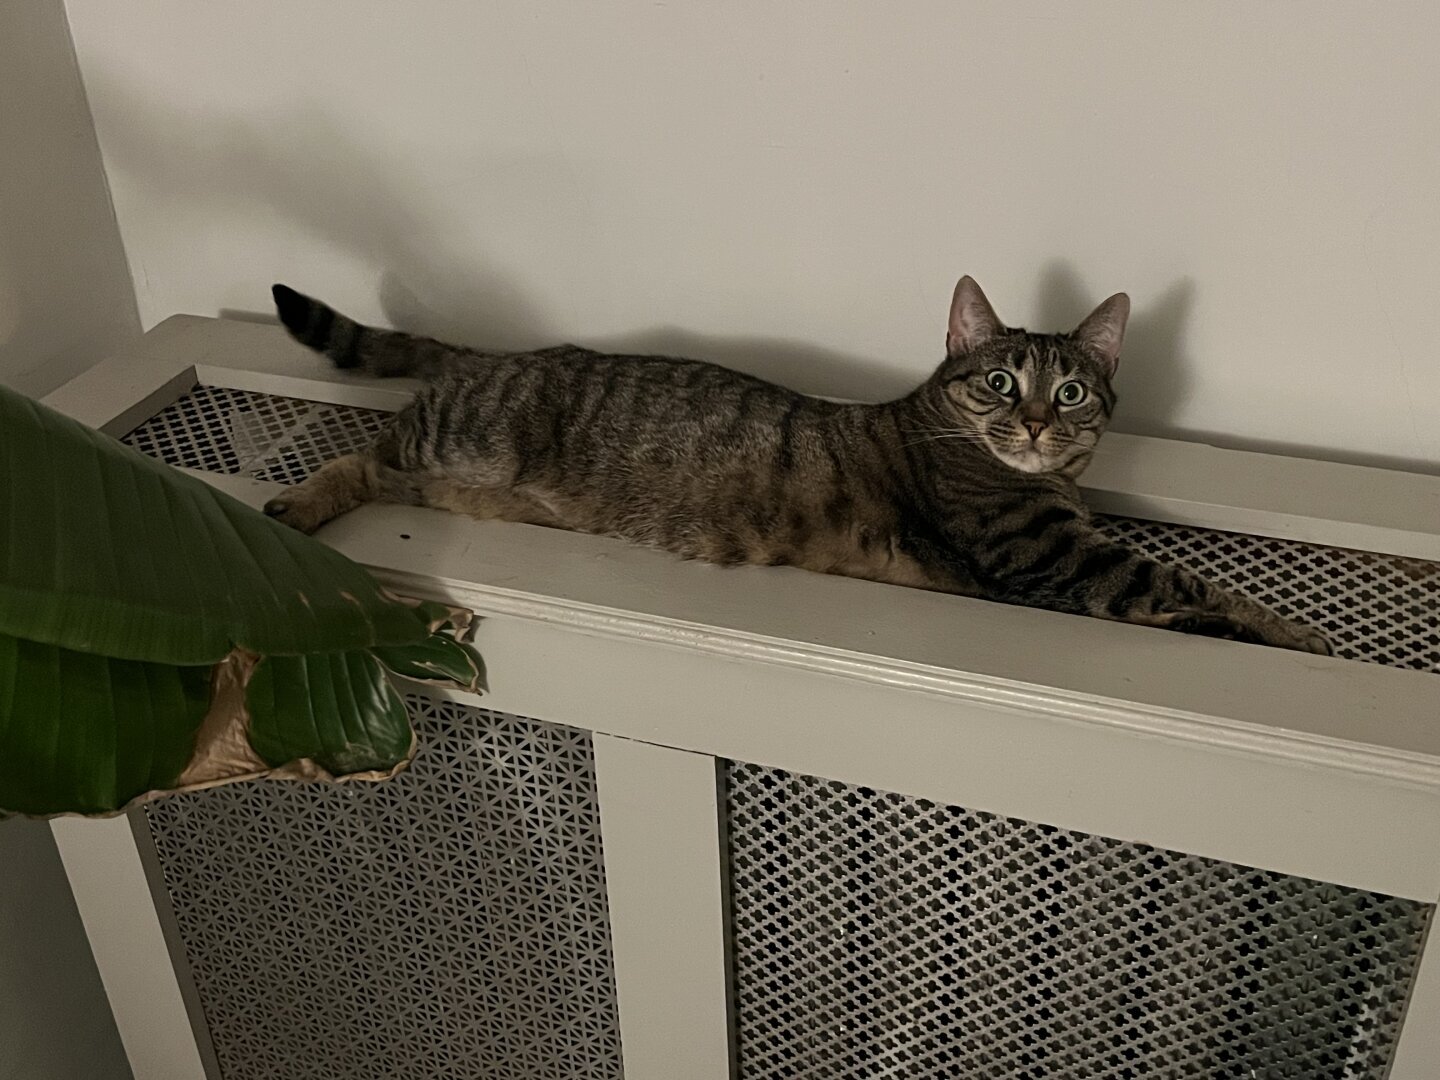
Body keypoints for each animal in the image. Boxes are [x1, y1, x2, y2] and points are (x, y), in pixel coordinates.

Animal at [267, 275, 1324, 656]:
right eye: (998, 381)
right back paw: (290, 509)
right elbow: (1189, 581)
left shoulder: (1068, 546)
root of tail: (491, 357)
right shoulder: (1051, 552)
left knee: (384, 468)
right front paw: (1298, 634)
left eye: (1069, 391)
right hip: (463, 434)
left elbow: (1189, 586)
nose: (1032, 424)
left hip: (458, 474)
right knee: (362, 448)